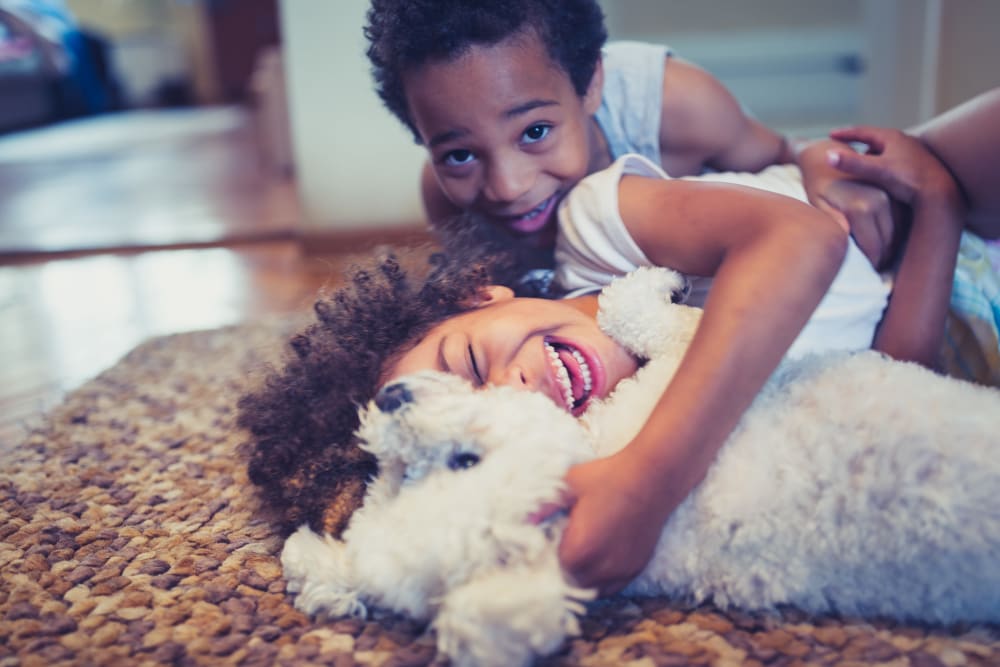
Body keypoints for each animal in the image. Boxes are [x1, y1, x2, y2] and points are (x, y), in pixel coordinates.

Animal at [280, 268, 1000, 667]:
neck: (595, 453)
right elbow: (657, 318)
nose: (389, 400)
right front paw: (657, 281)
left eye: (454, 461)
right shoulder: (684, 380)